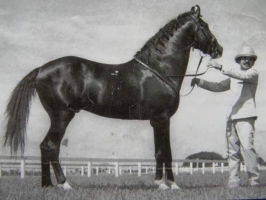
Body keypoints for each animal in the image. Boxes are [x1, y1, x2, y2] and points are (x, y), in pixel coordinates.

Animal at [3, 5, 222, 190]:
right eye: (205, 26)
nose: (219, 50)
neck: (160, 69)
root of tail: (41, 70)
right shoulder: (162, 118)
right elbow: (165, 152)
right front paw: (169, 185)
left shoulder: (157, 121)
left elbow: (161, 152)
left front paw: (163, 183)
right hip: (62, 116)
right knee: (51, 146)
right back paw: (65, 185)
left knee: (44, 147)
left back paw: (48, 185)